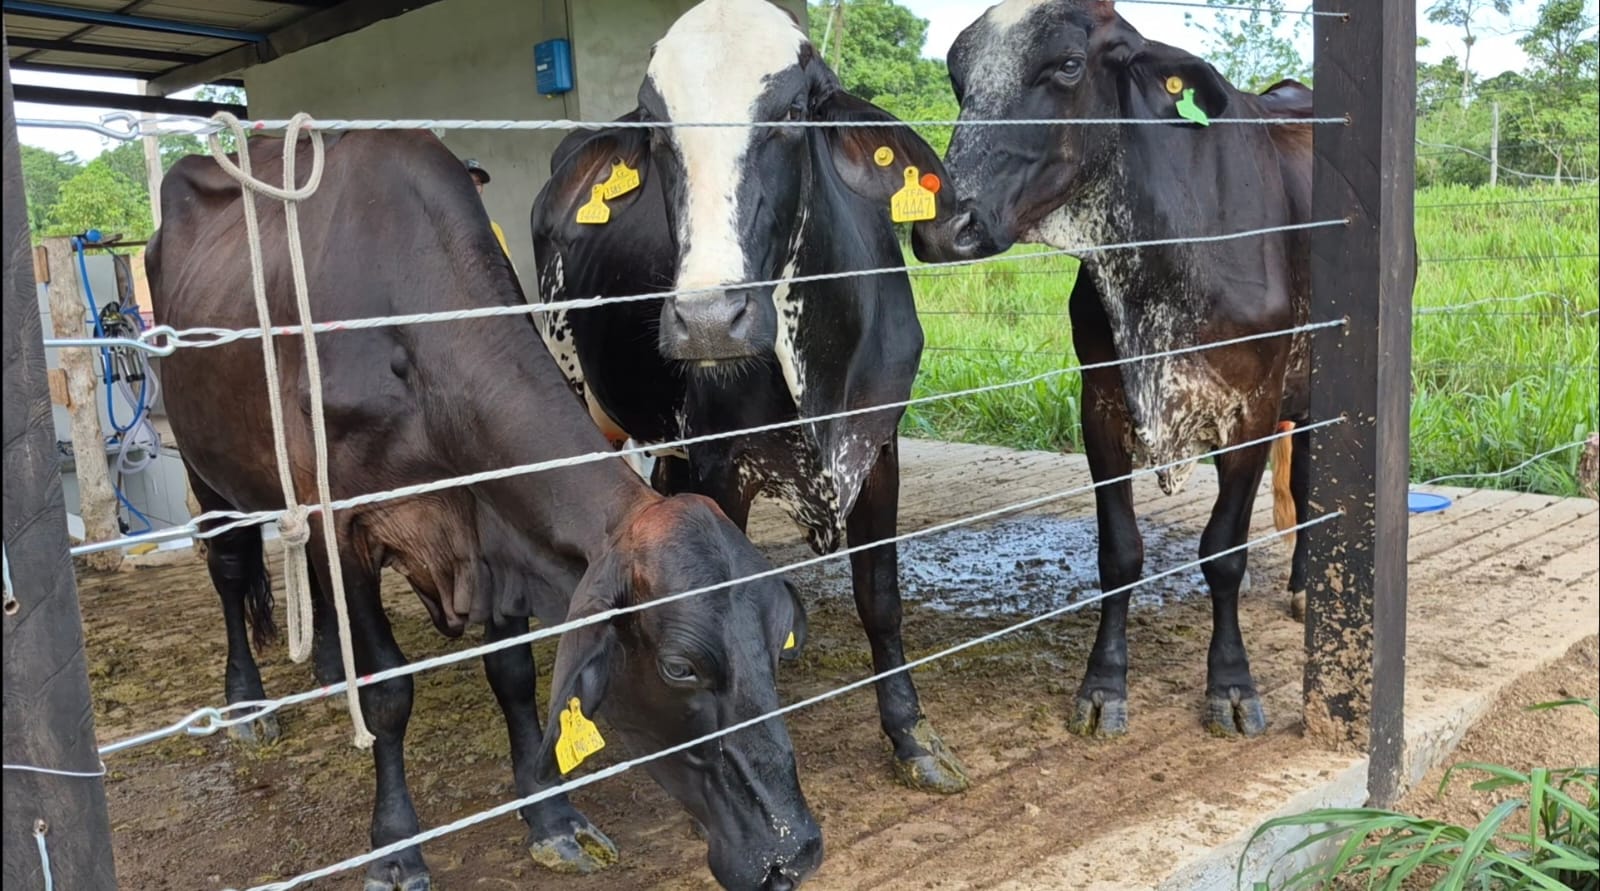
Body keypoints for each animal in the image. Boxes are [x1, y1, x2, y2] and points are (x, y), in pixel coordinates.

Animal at [148, 129, 822, 891]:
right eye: (680, 667)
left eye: (778, 640)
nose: (795, 850)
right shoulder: (342, 522)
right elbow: (388, 694)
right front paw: (395, 848)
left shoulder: (497, 522)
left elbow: (514, 675)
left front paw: (551, 817)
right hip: (204, 469)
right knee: (231, 569)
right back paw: (246, 703)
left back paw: (324, 663)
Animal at [529, 0, 970, 795]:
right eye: (653, 124)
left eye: (794, 110)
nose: (708, 319)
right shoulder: (720, 469)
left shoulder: (878, 445)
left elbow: (880, 598)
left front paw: (911, 733)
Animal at [912, 0, 1316, 739]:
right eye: (959, 76)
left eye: (1069, 64)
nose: (941, 227)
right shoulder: (1100, 404)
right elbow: (1119, 554)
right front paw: (1103, 686)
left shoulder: (1251, 405)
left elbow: (1224, 551)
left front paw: (1231, 686)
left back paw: (1304, 586)